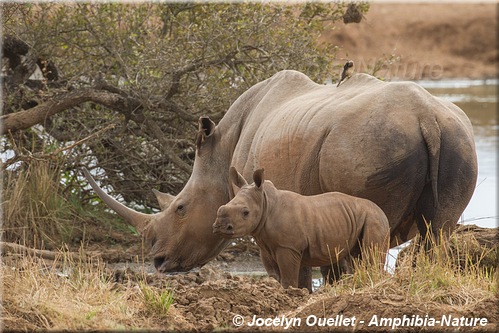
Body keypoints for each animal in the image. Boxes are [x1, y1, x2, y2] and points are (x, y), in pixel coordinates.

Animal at [212, 166, 390, 288]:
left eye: (245, 212)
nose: (219, 227)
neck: (265, 202)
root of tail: (382, 212)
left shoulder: (288, 247)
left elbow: (288, 278)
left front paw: (290, 293)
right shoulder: (265, 246)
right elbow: (274, 275)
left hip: (374, 218)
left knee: (370, 254)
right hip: (358, 218)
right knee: (355, 256)